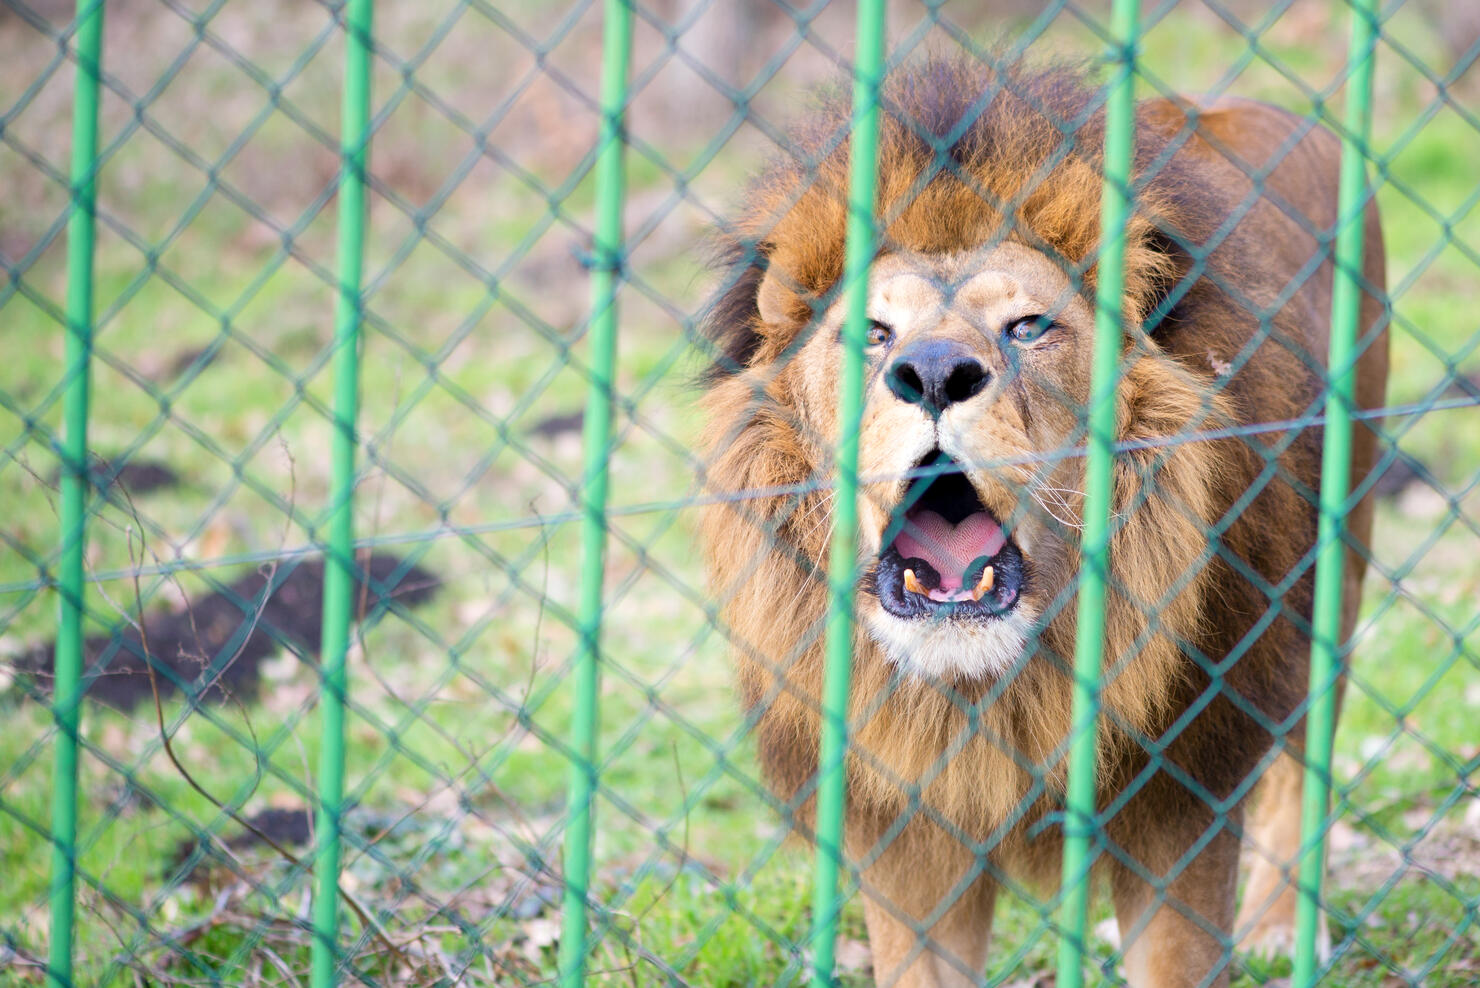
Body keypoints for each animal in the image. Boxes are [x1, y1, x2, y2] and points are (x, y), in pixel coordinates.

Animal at [698, 61, 1379, 988]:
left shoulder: (1181, 796)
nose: (934, 371)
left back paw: (1280, 928)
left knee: (1303, 768)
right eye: (873, 334)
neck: (988, 692)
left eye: (1027, 327)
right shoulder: (905, 836)